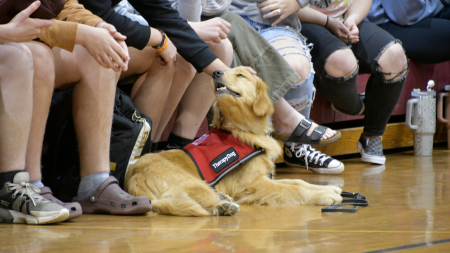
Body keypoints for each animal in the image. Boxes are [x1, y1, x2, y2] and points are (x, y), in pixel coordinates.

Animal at [125, 68, 342, 216]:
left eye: (240, 75)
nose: (215, 71)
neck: (243, 130)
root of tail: (133, 180)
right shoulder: (253, 185)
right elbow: (293, 188)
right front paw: (323, 196)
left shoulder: (265, 176)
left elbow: (297, 181)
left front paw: (327, 188)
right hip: (194, 181)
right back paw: (222, 206)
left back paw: (223, 202)